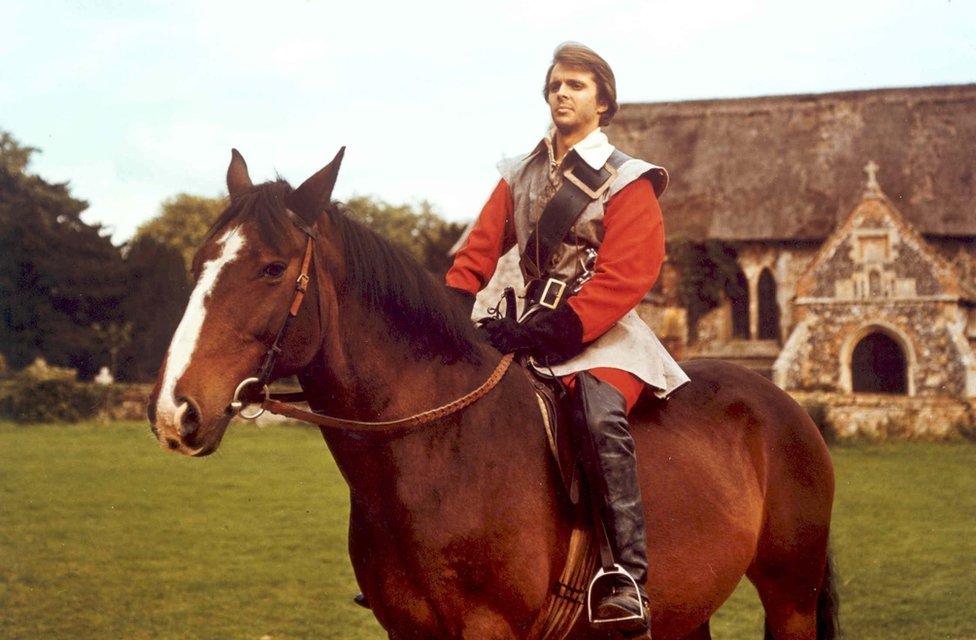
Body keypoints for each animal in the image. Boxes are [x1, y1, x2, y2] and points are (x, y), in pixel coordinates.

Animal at [149, 151, 836, 640]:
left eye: (271, 268)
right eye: (199, 262)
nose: (174, 412)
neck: (437, 449)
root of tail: (783, 406)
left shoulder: (489, 629)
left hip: (790, 599)